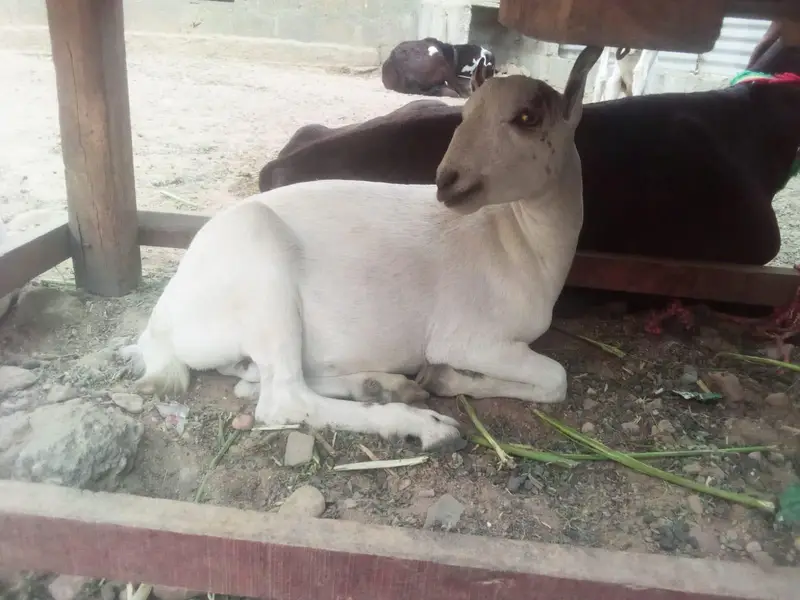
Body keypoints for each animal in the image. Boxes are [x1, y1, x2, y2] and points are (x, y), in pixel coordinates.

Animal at [122, 46, 603, 449]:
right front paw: (446, 378)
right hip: (263, 278)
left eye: (527, 117)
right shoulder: (471, 337)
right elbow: (557, 379)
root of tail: (160, 326)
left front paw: (437, 380)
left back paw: (385, 385)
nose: (447, 179)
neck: (519, 242)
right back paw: (423, 425)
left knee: (255, 377)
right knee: (282, 399)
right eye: (464, 112)